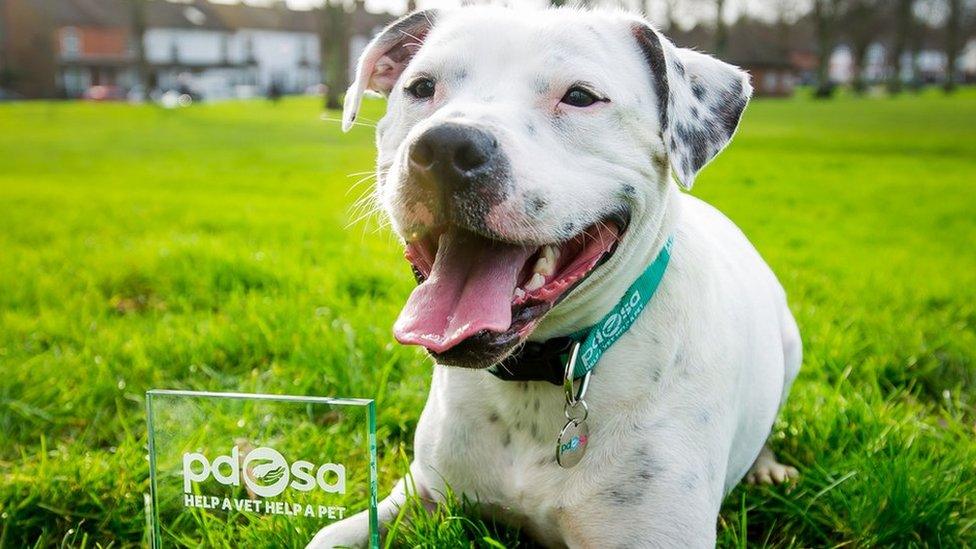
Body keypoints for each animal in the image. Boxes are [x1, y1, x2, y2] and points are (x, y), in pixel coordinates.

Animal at [310, 6, 800, 544]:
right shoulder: (422, 493)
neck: (542, 372)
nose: (446, 146)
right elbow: (330, 534)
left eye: (581, 96)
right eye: (420, 87)